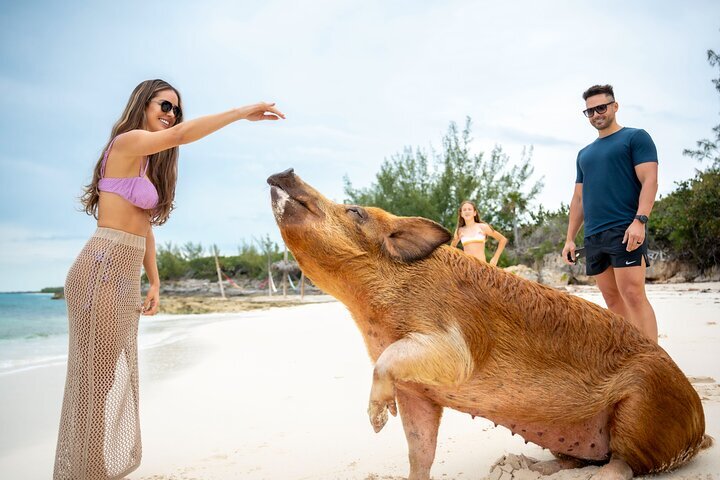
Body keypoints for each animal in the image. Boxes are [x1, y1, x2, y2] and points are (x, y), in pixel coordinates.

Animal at [268, 169, 708, 480]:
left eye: (355, 211)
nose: (284, 170)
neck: (373, 309)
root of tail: (699, 427)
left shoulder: (452, 339)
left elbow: (395, 360)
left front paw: (377, 420)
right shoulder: (418, 393)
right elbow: (419, 446)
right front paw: (391, 429)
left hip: (643, 404)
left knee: (624, 464)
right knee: (580, 460)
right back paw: (528, 466)